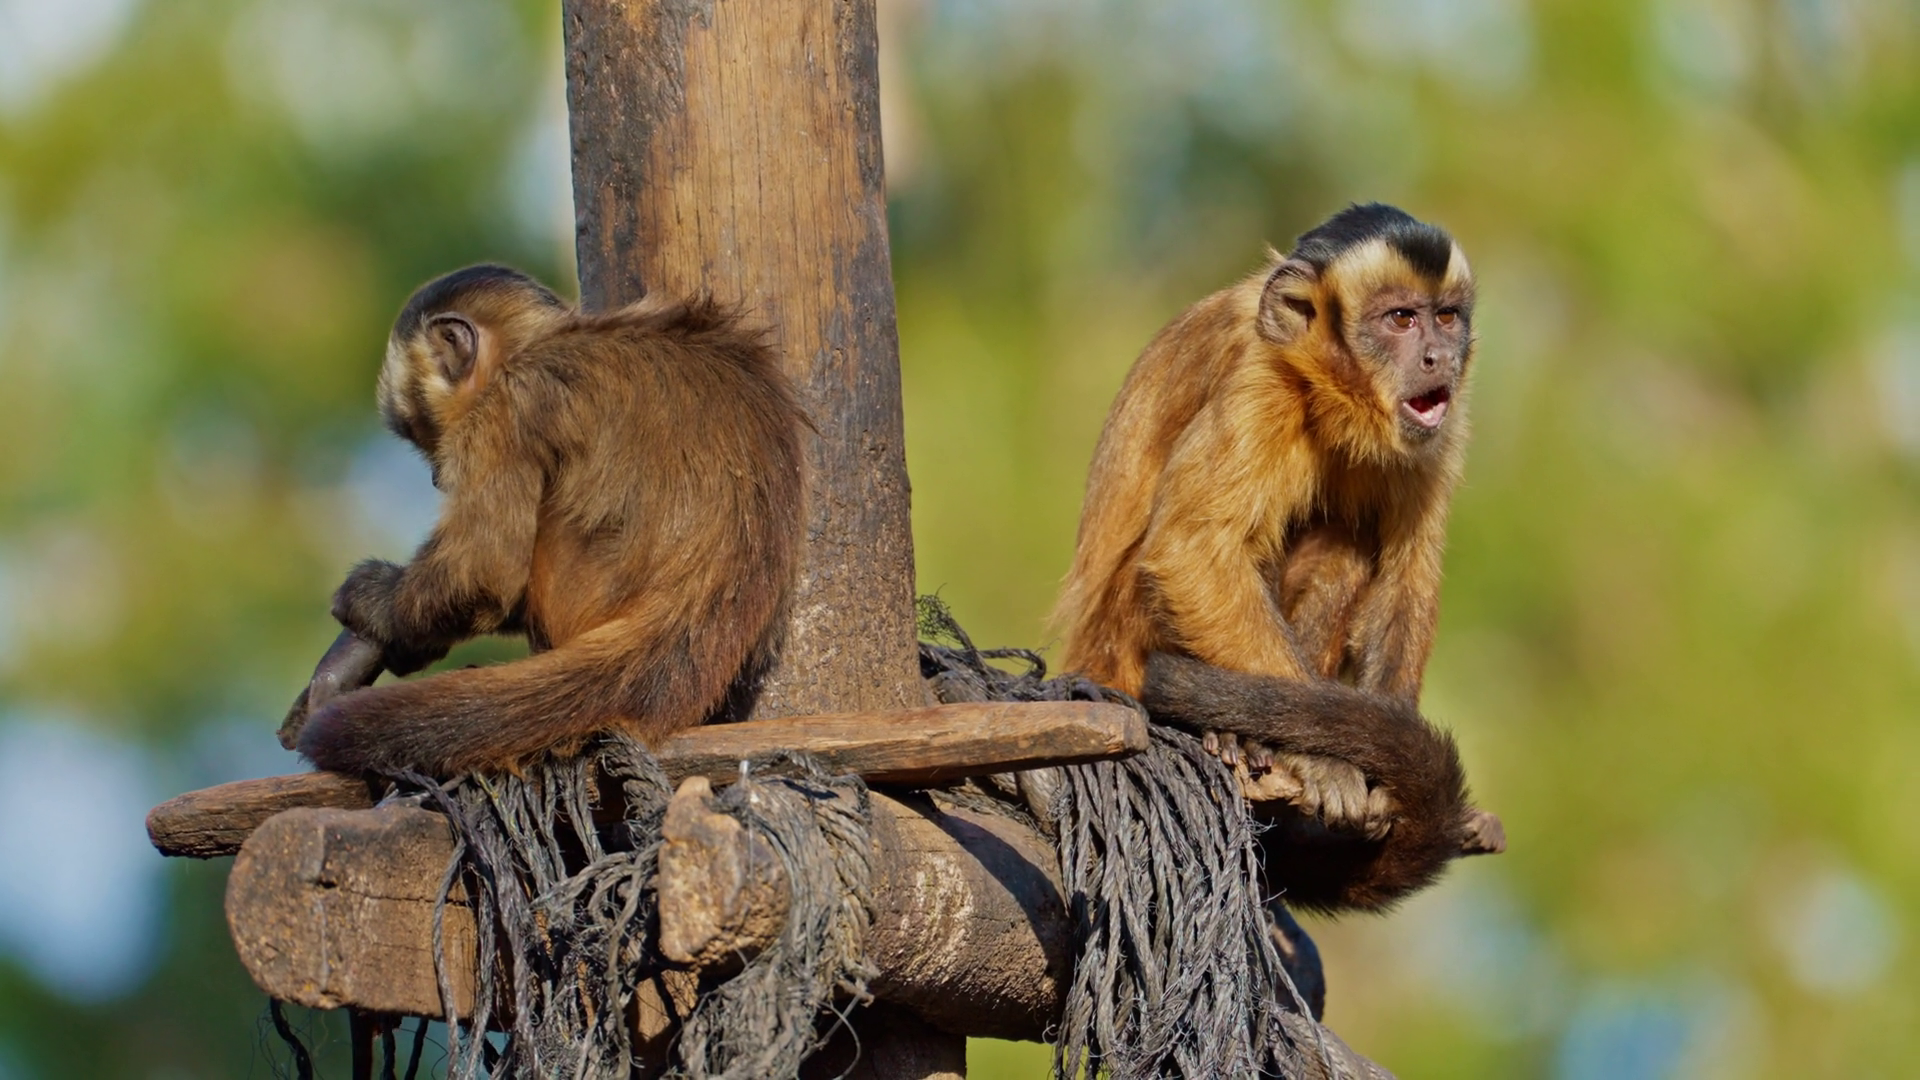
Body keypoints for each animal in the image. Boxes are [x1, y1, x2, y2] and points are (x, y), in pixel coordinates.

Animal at [1052, 203, 1499, 911]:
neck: (1326, 391)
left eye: (1446, 316)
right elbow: (1192, 549)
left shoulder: (1438, 429)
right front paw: (1318, 758)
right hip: (1119, 643)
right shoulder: (1258, 384)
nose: (1438, 356)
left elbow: (1406, 580)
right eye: (1401, 319)